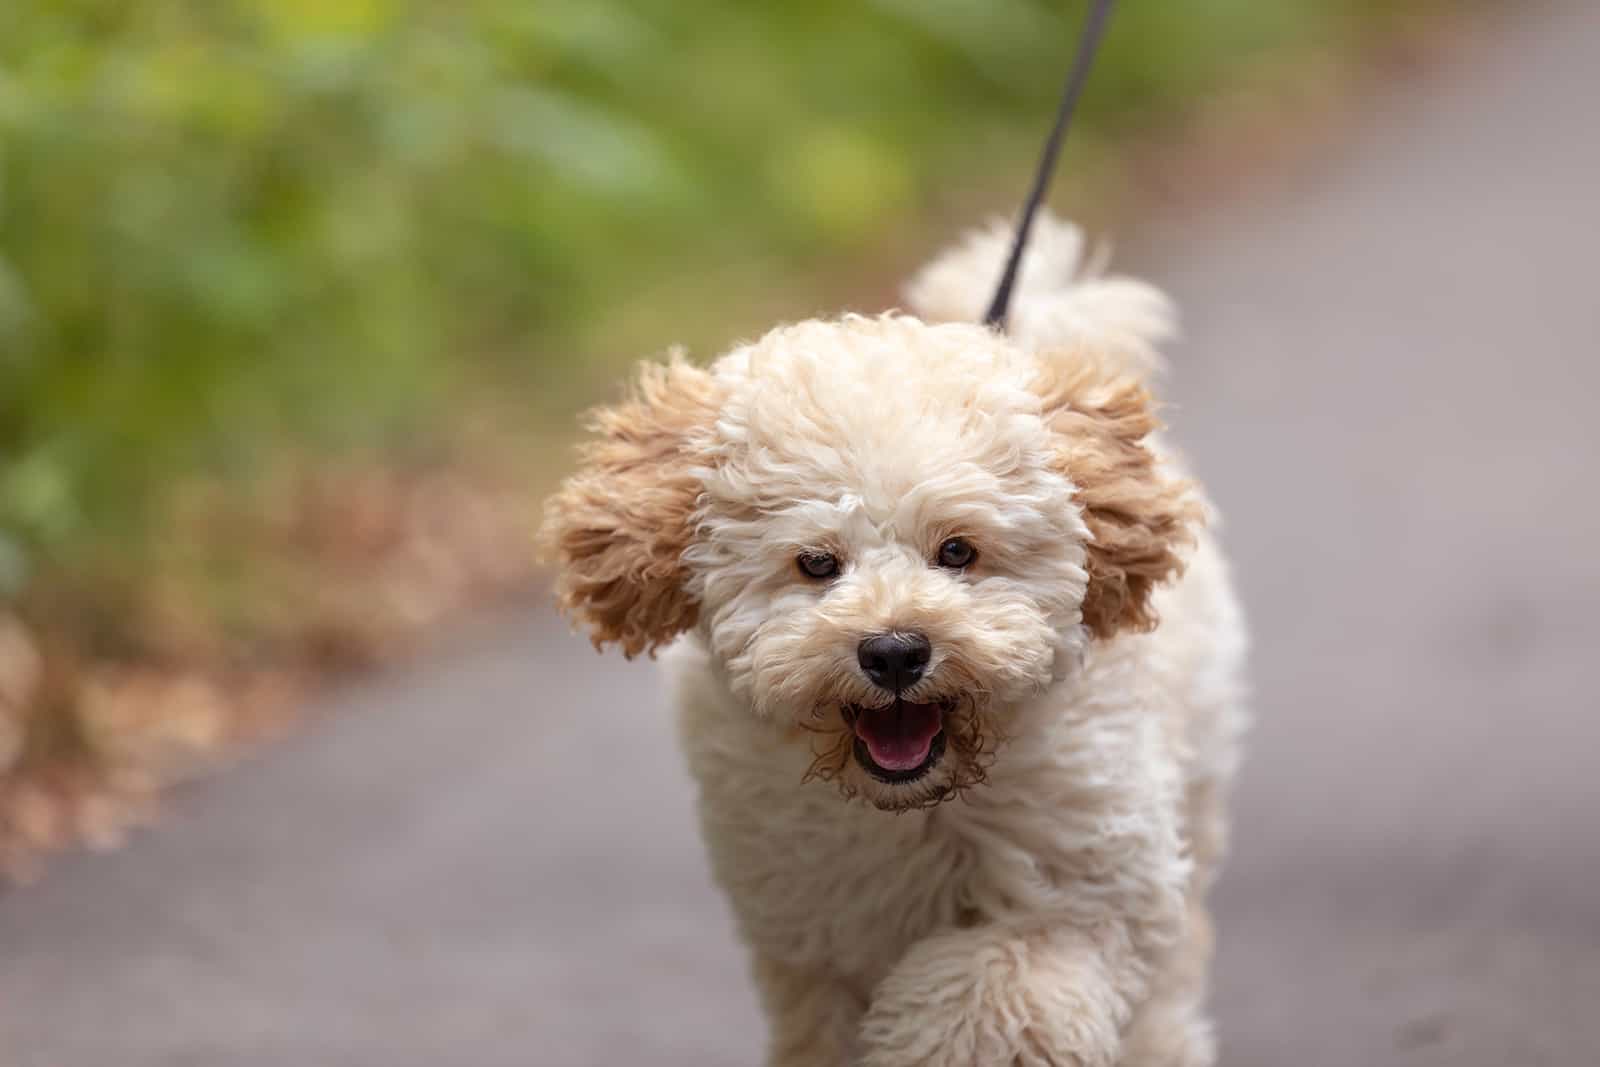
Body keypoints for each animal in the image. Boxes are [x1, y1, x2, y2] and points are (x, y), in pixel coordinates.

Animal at [544, 212, 1241, 1062]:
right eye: (816, 563)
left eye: (958, 550)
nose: (895, 651)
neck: (914, 807)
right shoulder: (814, 936)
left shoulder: (1081, 893)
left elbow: (987, 990)